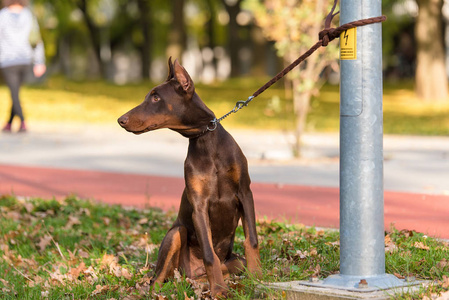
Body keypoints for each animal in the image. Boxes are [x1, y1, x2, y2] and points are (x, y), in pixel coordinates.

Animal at [117, 58, 260, 296]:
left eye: (156, 97)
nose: (121, 119)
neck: (205, 139)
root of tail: (189, 274)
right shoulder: (199, 205)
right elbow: (209, 255)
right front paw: (218, 290)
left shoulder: (245, 193)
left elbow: (252, 240)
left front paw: (258, 278)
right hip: (176, 233)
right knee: (157, 278)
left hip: (234, 262)